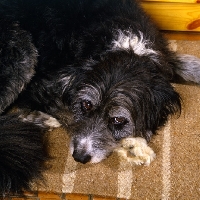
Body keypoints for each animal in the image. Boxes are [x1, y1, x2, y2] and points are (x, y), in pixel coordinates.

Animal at [0, 0, 200, 195]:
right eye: (86, 105)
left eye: (118, 120)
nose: (79, 157)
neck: (127, 47)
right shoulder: (44, 86)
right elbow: (69, 114)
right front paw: (134, 145)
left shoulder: (163, 60)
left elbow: (186, 63)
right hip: (22, 49)